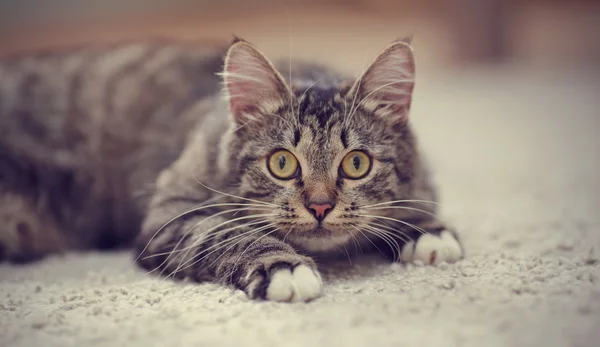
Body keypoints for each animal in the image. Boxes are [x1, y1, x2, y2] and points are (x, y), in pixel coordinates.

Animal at [0, 36, 464, 302]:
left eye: (356, 163)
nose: (319, 207)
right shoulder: (171, 214)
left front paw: (426, 231)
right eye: (282, 163)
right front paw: (285, 268)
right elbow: (228, 231)